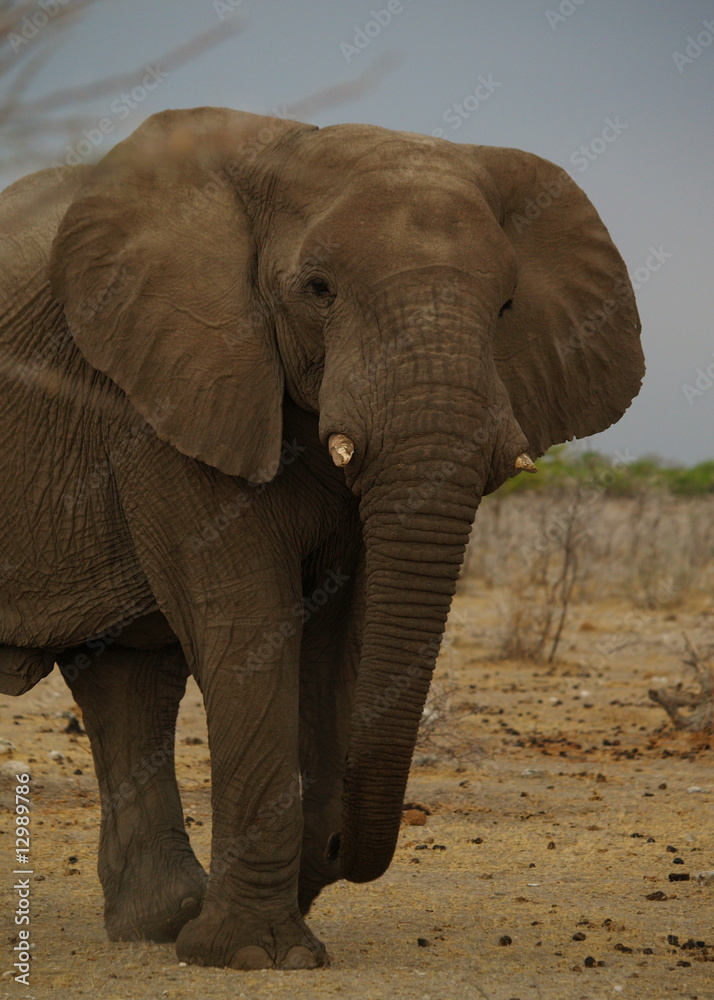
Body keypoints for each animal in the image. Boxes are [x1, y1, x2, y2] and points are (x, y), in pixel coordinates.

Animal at [0, 107, 644, 970]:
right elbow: (248, 622)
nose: (337, 847)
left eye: (508, 306)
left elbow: (343, 634)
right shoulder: (166, 384)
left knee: (127, 679)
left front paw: (247, 937)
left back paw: (164, 922)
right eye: (318, 290)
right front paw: (255, 956)